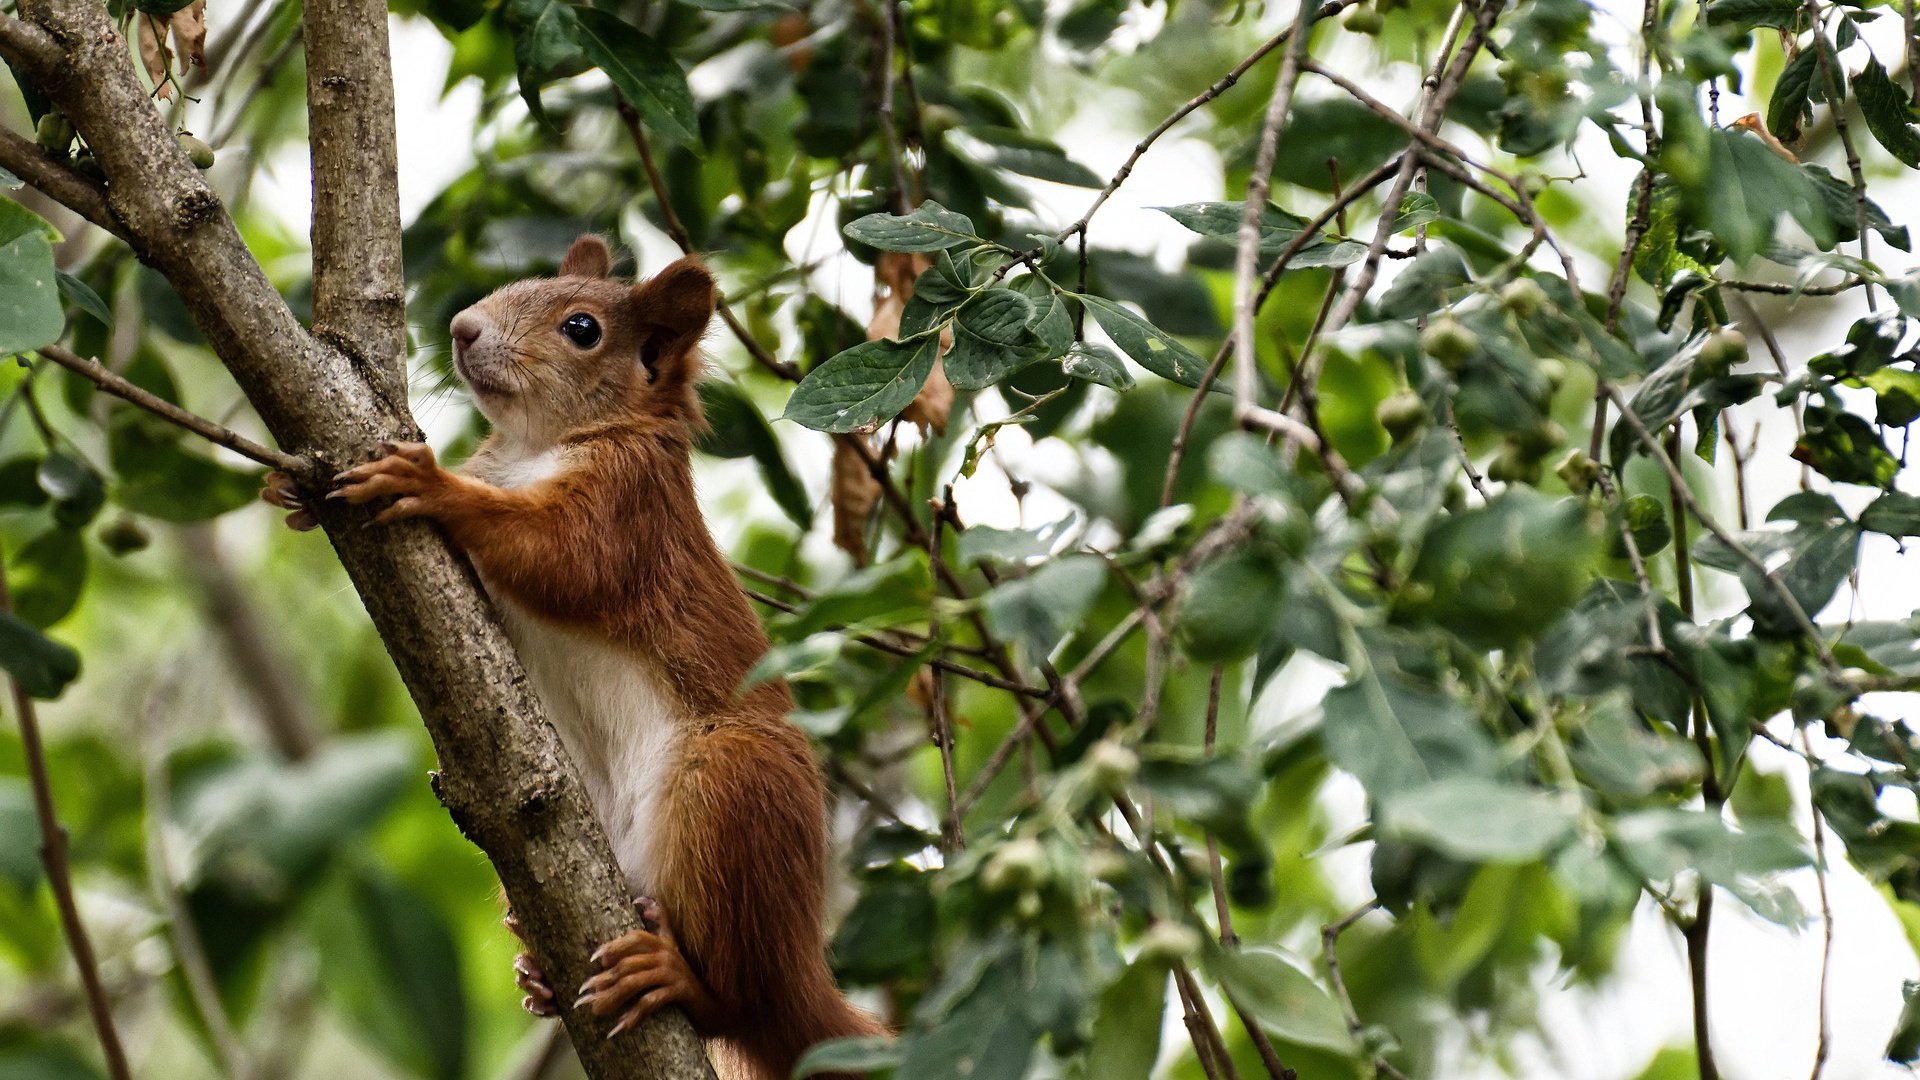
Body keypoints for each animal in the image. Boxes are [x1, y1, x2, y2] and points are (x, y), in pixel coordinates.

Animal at [263, 237, 883, 1076]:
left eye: (582, 328)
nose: (462, 328)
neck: (539, 446)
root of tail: (802, 974)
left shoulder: (630, 511)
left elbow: (560, 557)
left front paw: (430, 480)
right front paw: (294, 490)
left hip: (730, 790)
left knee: (741, 999)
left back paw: (677, 978)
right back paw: (539, 971)